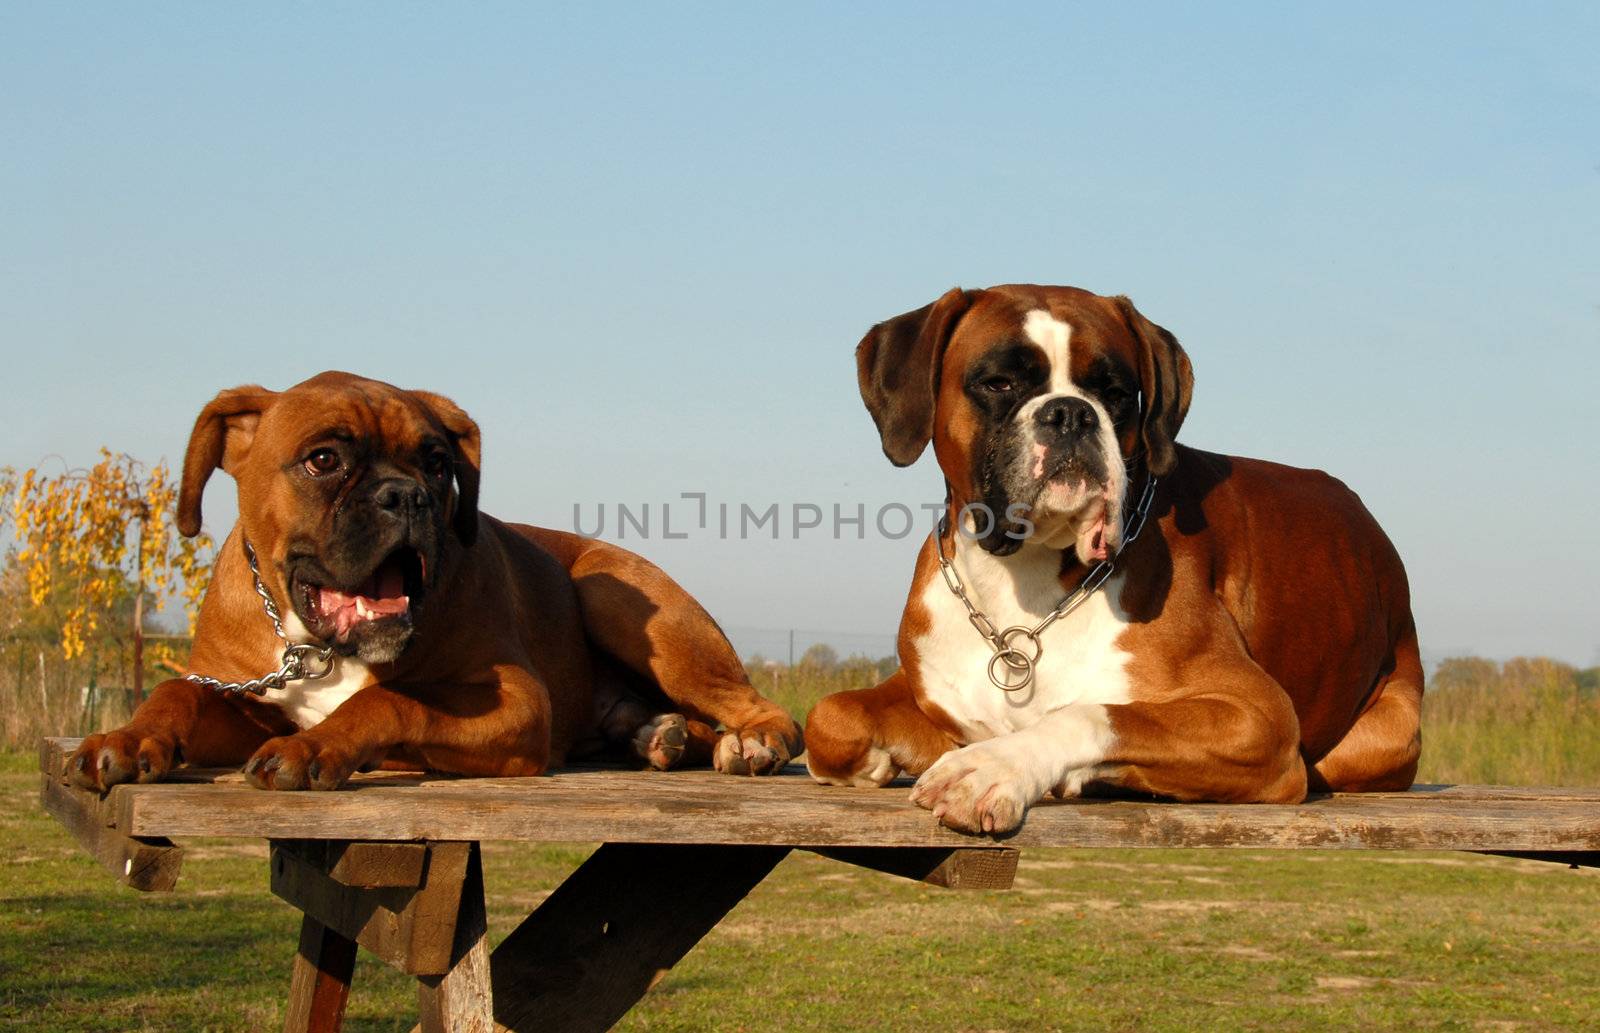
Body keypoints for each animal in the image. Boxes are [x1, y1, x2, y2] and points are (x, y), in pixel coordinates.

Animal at [68, 372, 800, 793]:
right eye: (323, 459)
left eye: (439, 462)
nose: (408, 496)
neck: (318, 646)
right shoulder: (239, 700)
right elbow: (174, 692)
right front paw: (124, 740)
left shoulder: (517, 700)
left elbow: (388, 700)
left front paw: (314, 745)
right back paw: (656, 735)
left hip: (614, 593)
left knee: (768, 715)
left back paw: (748, 742)